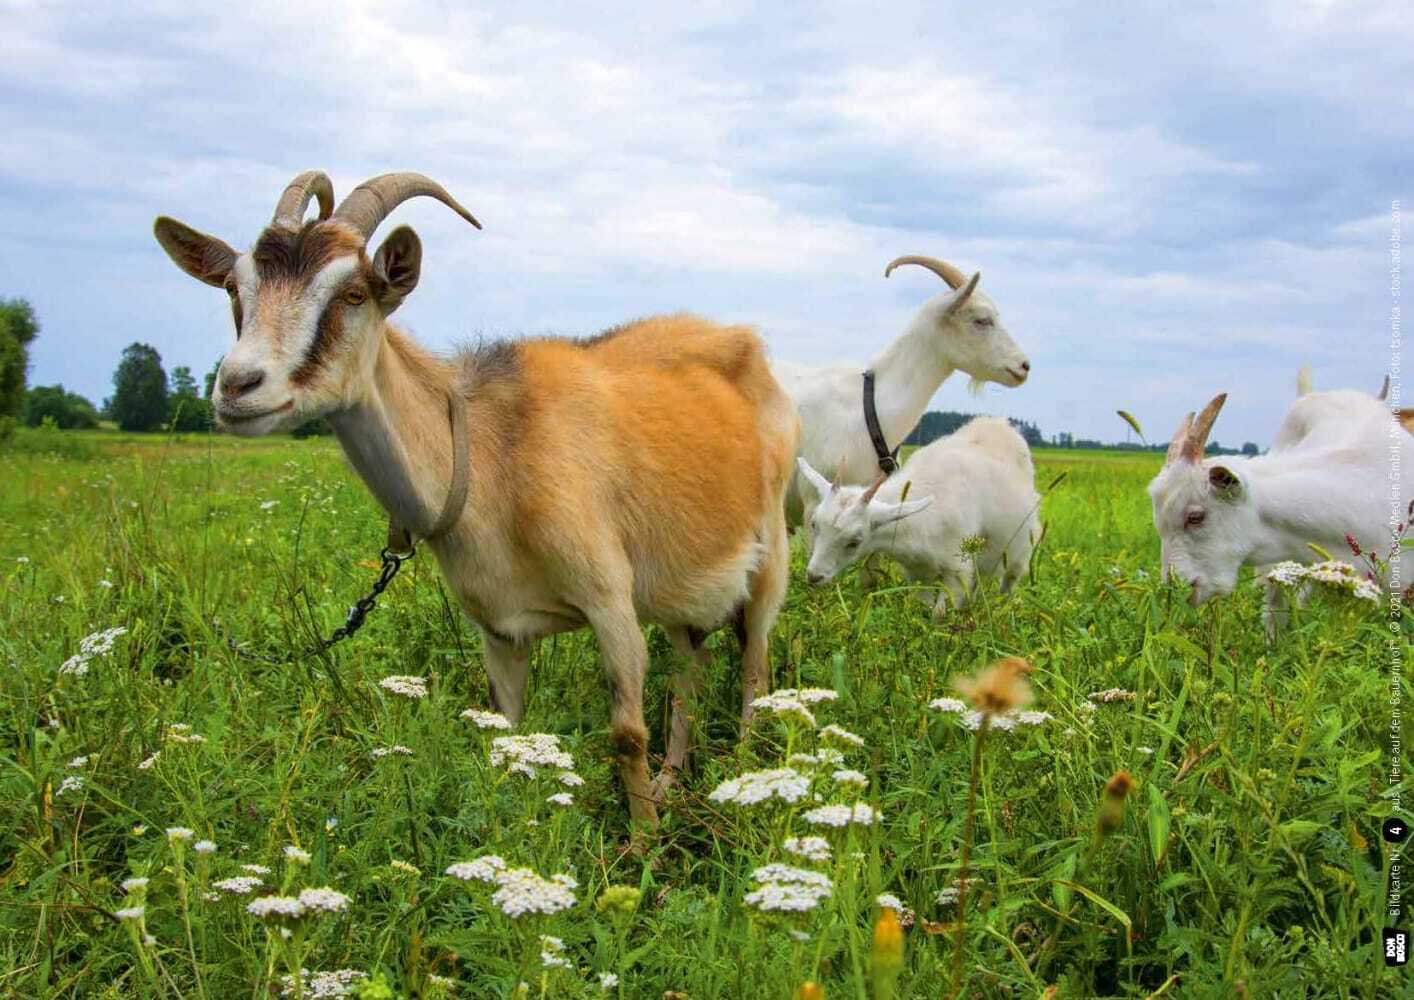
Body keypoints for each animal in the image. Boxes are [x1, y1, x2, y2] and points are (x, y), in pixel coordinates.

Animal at [153, 171, 803, 831]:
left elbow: (626, 734)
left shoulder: (610, 600)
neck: (491, 458)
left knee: (755, 667)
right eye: (235, 288)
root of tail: (748, 344)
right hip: (681, 585)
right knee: (689, 667)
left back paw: (744, 775)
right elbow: (505, 735)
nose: (238, 387)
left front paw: (641, 844)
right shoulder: (499, 628)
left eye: (355, 293)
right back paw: (674, 779)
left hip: (770, 552)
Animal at [797, 415, 1040, 616]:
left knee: (1009, 581)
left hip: (1020, 552)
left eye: (855, 541)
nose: (814, 576)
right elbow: (923, 606)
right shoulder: (919, 573)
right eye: (814, 525)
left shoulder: (957, 570)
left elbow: (940, 613)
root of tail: (1000, 424)